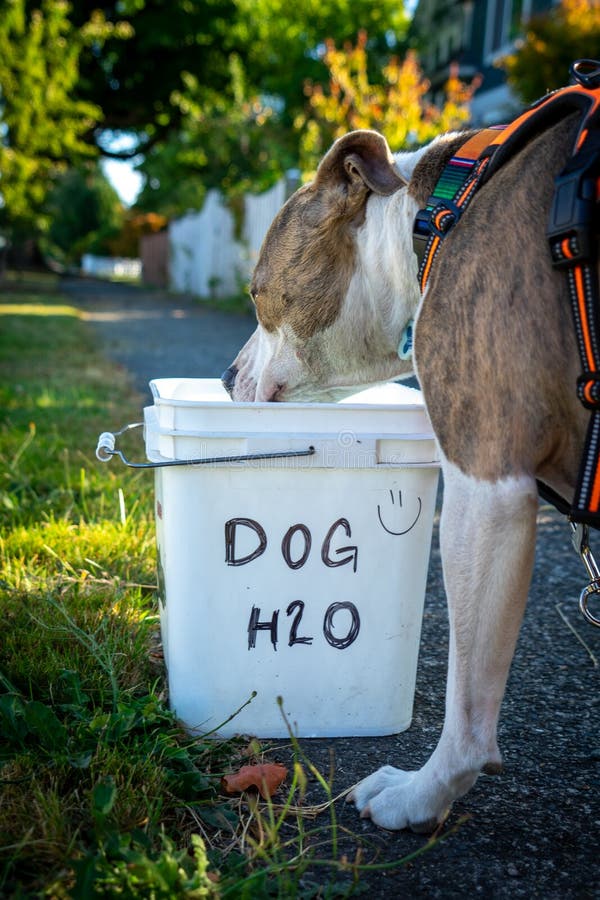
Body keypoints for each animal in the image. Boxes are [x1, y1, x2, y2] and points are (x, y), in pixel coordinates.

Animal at [221, 118, 592, 828]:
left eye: (256, 294)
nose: (225, 379)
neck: (429, 221)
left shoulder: (487, 485)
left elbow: (467, 696)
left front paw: (424, 792)